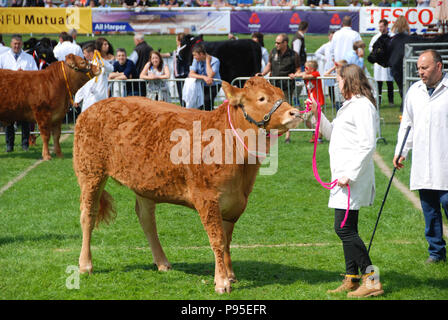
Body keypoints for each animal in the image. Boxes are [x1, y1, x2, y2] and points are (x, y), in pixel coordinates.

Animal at [72, 76, 300, 294]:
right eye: (262, 98)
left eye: (281, 94)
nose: (295, 113)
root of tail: (93, 108)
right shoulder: (206, 198)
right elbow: (217, 240)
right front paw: (222, 282)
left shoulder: (235, 202)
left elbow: (227, 240)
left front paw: (230, 274)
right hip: (90, 171)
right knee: (88, 215)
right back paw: (85, 265)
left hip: (142, 183)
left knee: (146, 219)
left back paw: (162, 262)